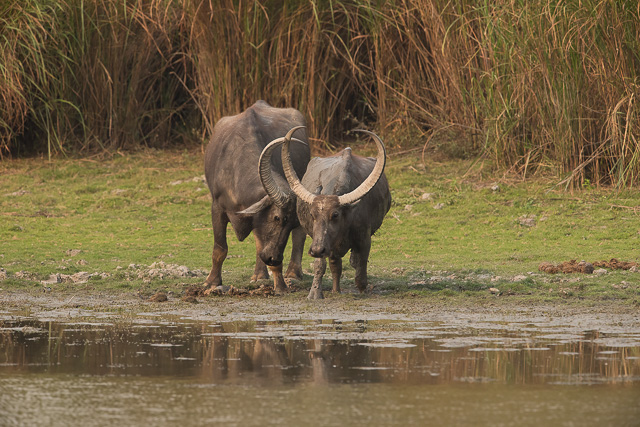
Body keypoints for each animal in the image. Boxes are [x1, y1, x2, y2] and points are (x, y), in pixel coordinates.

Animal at [201, 101, 308, 294]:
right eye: (277, 217)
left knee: (298, 237)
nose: (274, 258)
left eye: (291, 223)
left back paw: (293, 273)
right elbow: (220, 249)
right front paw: (211, 282)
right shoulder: (217, 208)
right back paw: (259, 274)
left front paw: (280, 286)